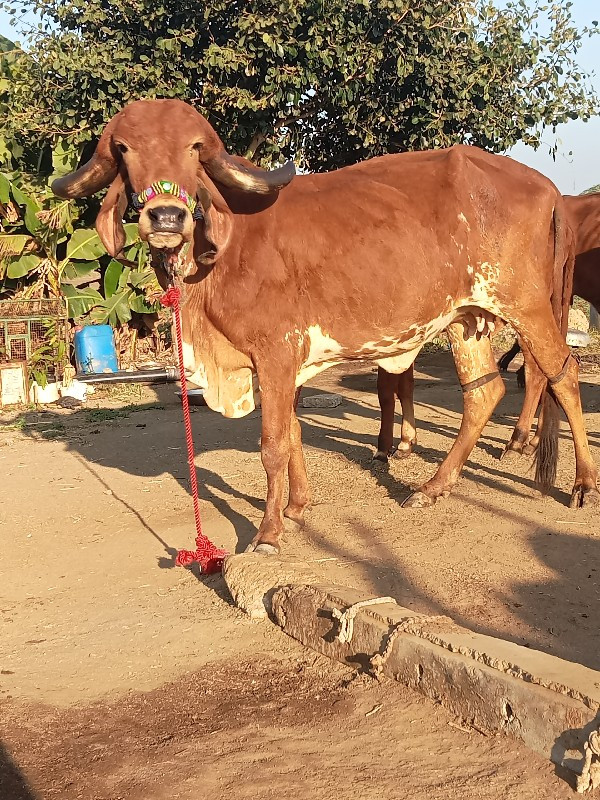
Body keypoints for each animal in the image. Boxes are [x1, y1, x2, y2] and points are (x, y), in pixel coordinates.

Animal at [54, 98, 596, 552]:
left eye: (194, 149)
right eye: (124, 149)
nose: (165, 217)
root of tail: (547, 187)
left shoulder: (274, 353)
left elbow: (273, 443)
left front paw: (269, 532)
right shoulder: (285, 363)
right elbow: (293, 430)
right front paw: (297, 505)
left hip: (525, 305)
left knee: (562, 374)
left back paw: (583, 483)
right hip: (467, 318)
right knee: (484, 394)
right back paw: (433, 486)